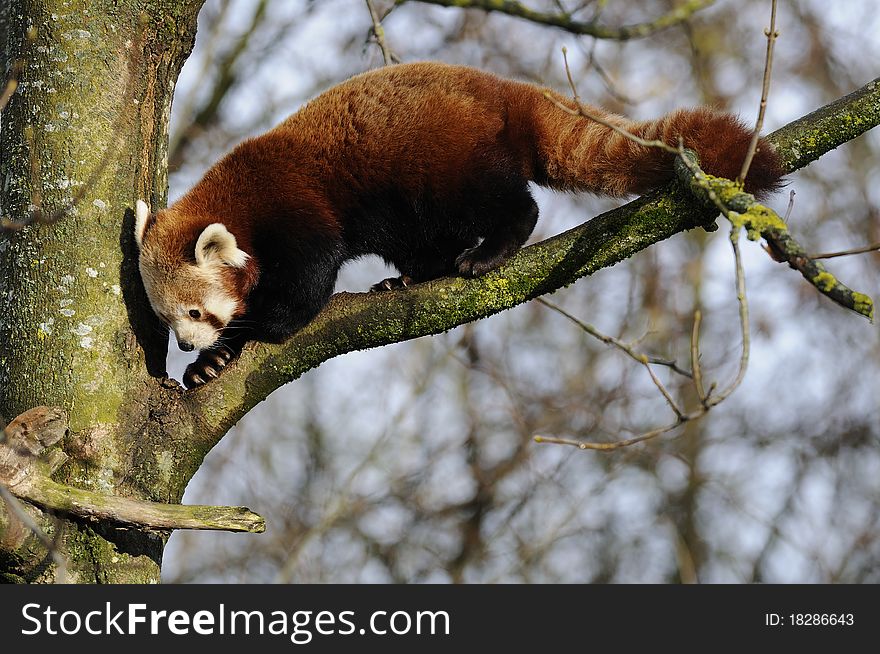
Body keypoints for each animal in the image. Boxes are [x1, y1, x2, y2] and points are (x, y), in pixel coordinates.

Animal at [136, 60, 784, 386]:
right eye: (168, 321)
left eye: (195, 312)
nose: (187, 342)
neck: (239, 197)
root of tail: (506, 91)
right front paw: (210, 361)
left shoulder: (295, 206)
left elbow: (306, 287)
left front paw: (243, 336)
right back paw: (411, 276)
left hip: (446, 160)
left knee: (506, 204)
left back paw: (488, 251)